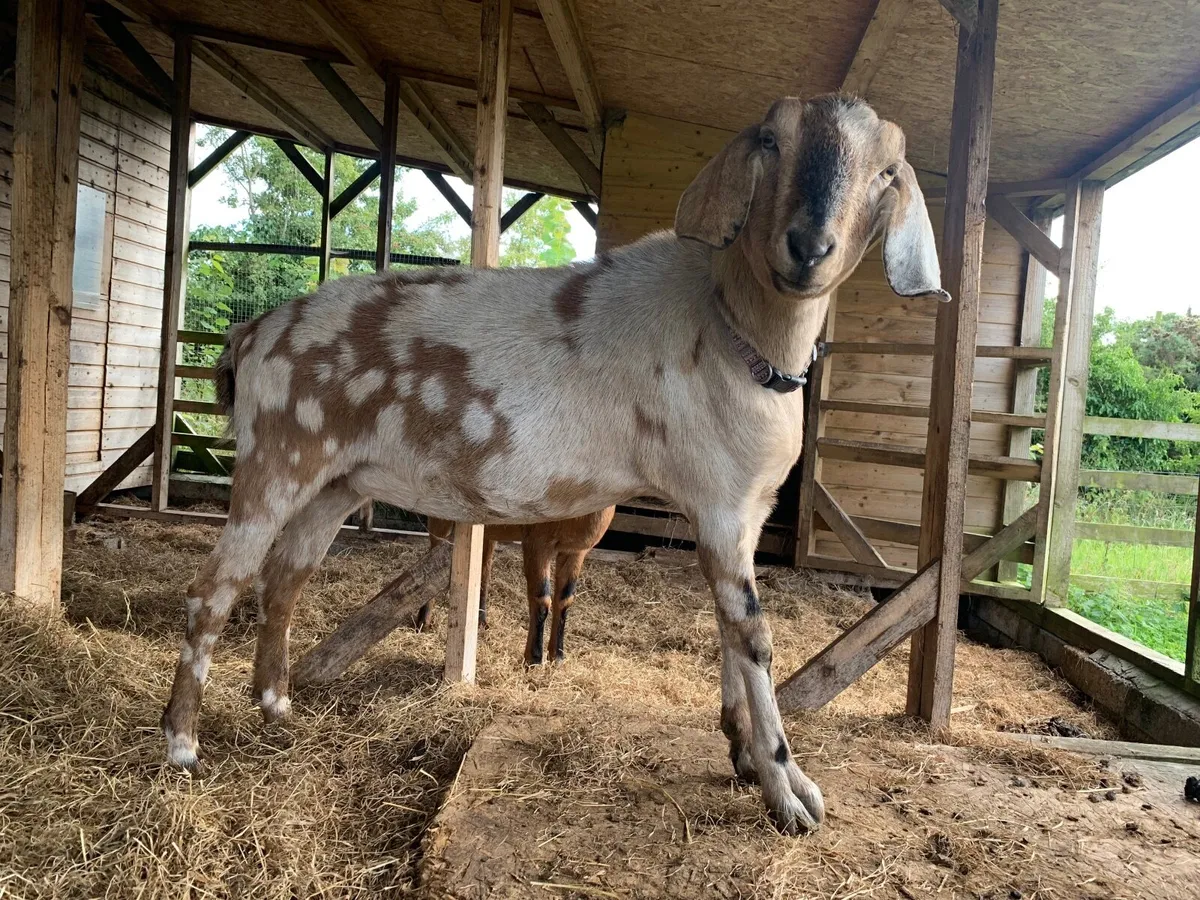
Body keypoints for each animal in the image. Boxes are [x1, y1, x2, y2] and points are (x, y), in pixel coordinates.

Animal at [420, 508, 615, 665]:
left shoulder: (575, 551)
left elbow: (565, 600)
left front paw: (557, 657)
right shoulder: (537, 542)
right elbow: (542, 599)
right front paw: (534, 660)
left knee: (483, 569)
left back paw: (481, 621)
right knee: (433, 552)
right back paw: (423, 622)